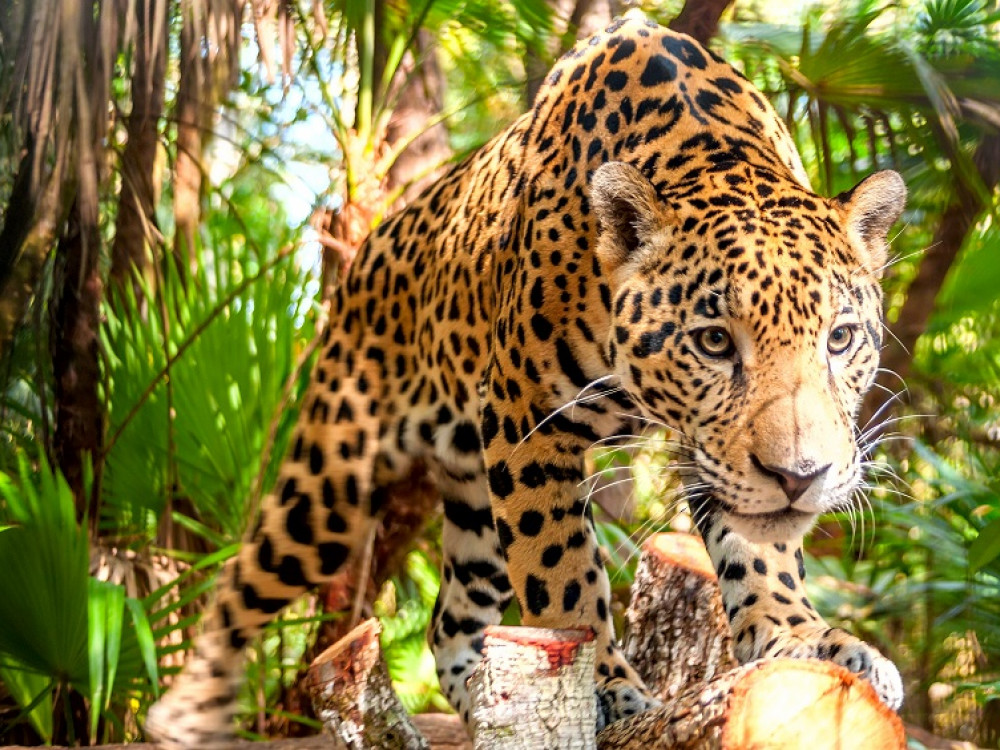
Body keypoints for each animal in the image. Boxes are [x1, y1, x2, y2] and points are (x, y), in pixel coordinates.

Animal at [146, 14, 906, 747]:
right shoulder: (526, 421)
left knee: (449, 621)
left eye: (839, 339)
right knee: (243, 580)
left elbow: (761, 548)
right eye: (715, 342)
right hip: (331, 481)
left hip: (474, 497)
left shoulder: (708, 457)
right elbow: (561, 576)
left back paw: (489, 704)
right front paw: (606, 691)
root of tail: (372, 245)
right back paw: (186, 715)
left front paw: (807, 640)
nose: (800, 476)